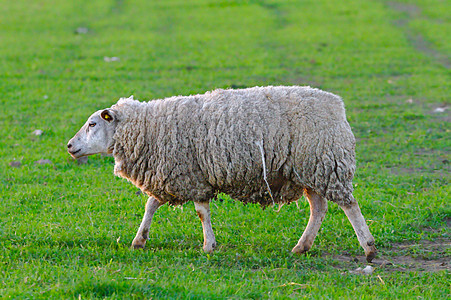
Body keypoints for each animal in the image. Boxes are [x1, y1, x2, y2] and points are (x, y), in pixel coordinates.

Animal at [67, 85, 378, 262]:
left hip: (326, 163)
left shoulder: (192, 176)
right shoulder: (172, 174)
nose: (69, 146)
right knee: (319, 208)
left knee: (349, 205)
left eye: (93, 124)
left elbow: (200, 212)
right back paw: (301, 247)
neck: (150, 128)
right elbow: (151, 205)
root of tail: (337, 106)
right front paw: (139, 240)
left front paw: (208, 245)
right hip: (305, 170)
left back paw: (369, 248)